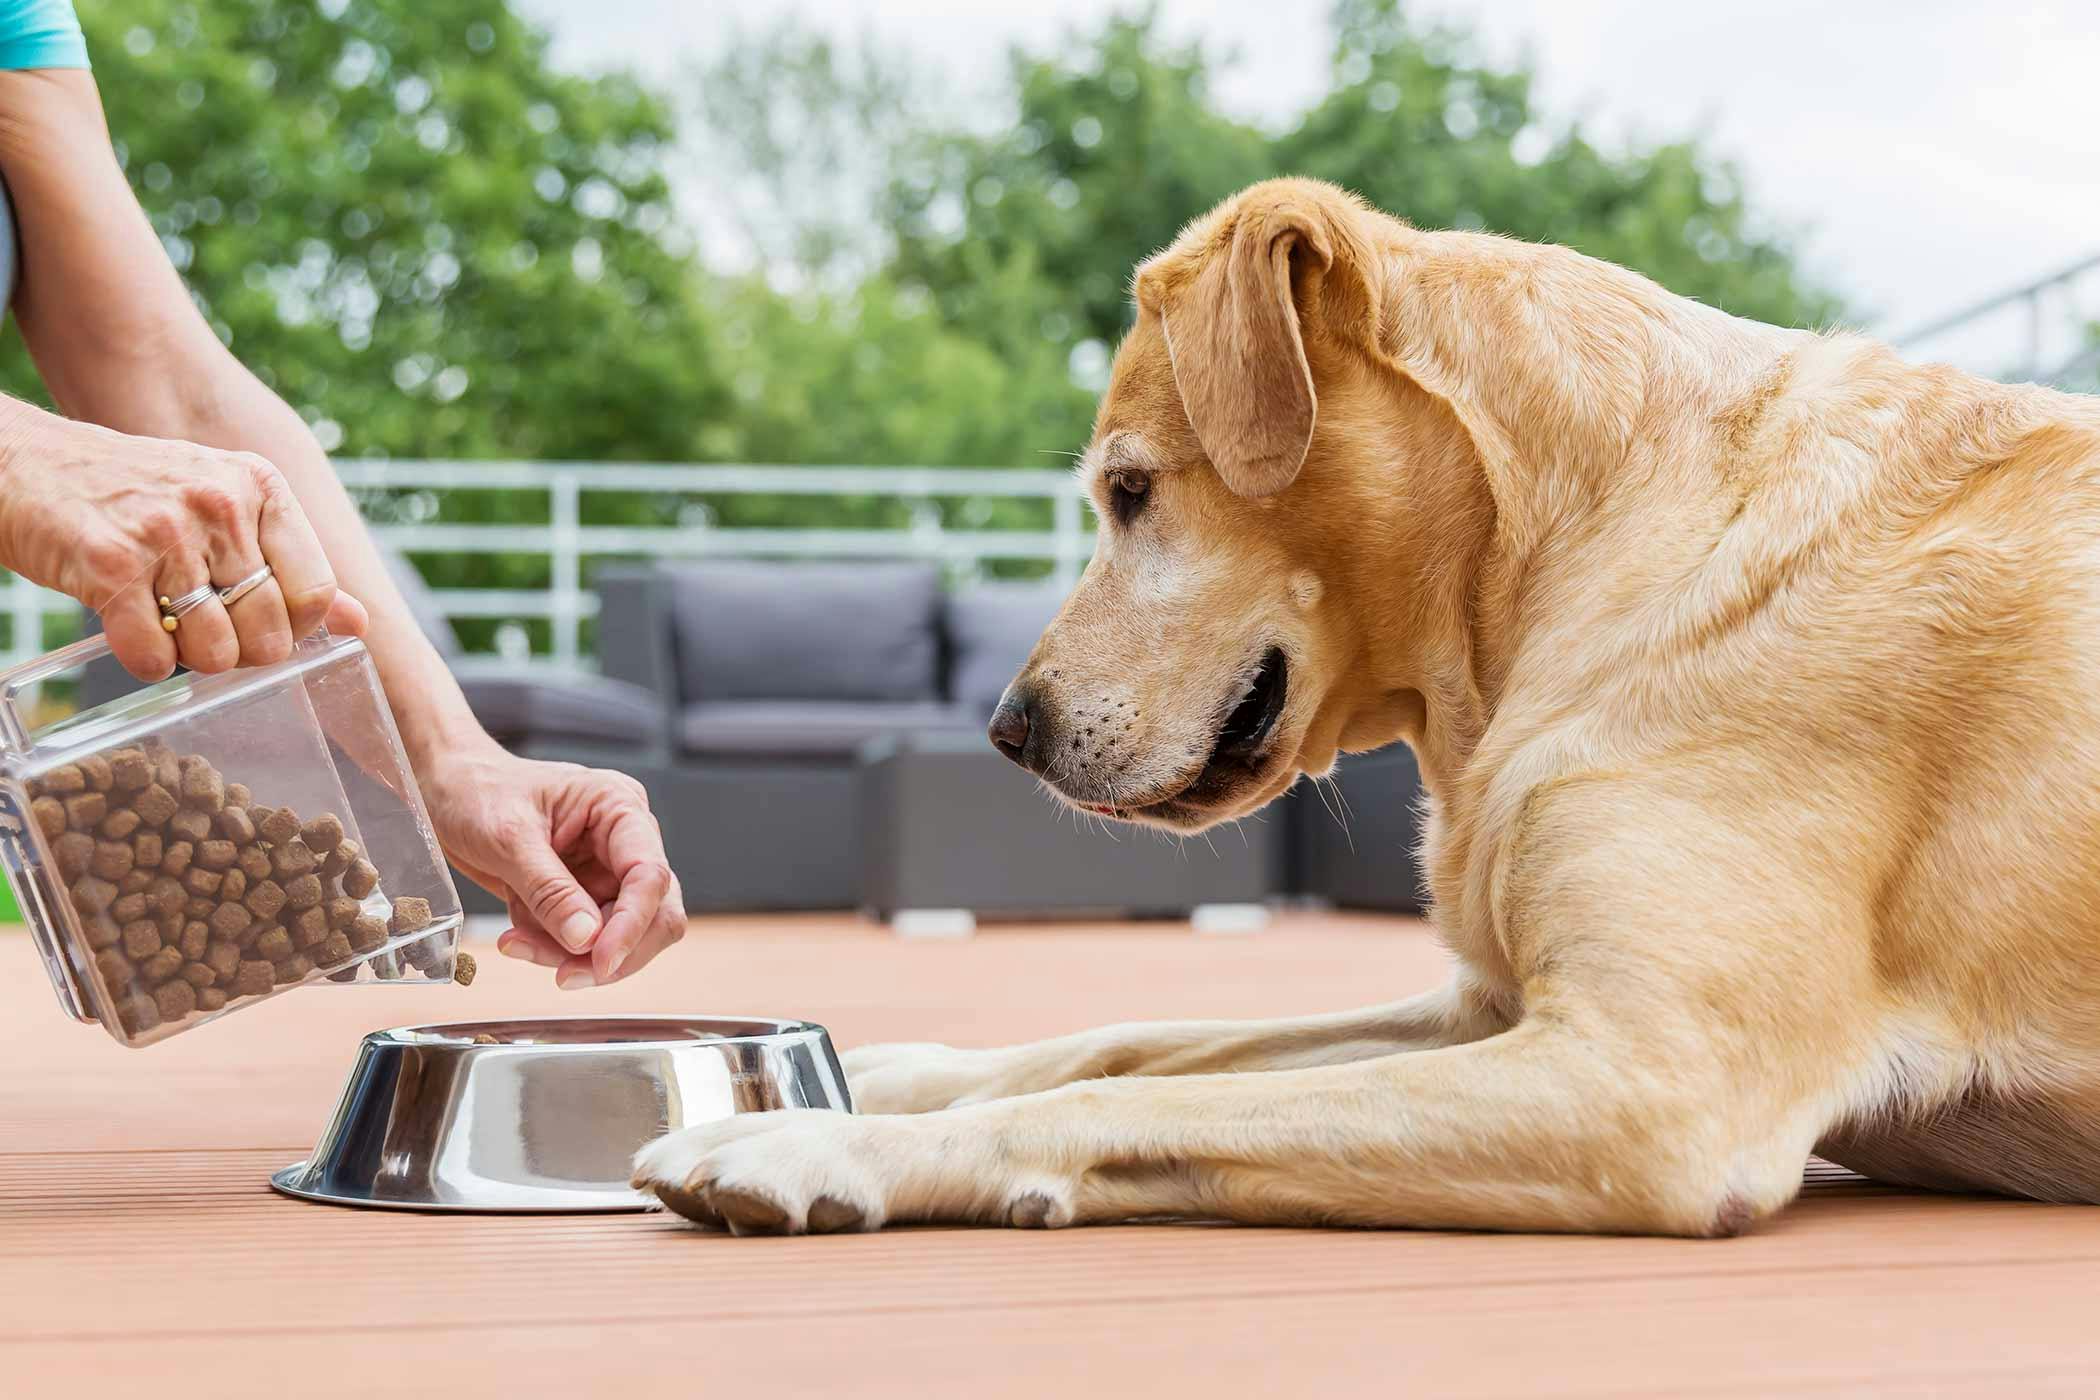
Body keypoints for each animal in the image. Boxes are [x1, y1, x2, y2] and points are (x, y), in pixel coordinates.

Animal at [630, 175, 2100, 1234]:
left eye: (1130, 491)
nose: (1007, 729)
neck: (1572, 553)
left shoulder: (1652, 1081)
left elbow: (1116, 1096)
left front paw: (816, 1136)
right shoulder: (1487, 1010)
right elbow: (1134, 1044)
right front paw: (889, 1071)